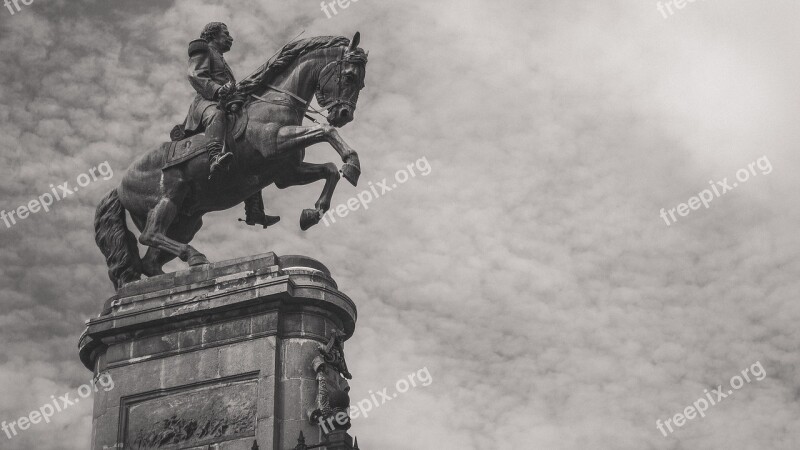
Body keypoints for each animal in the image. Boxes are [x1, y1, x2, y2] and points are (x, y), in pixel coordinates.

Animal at [95, 33, 368, 290]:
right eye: (350, 77)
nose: (344, 115)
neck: (274, 103)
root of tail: (119, 185)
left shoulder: (287, 172)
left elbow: (330, 170)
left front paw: (312, 213)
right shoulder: (275, 143)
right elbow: (325, 131)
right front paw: (352, 164)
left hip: (186, 222)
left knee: (150, 260)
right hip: (168, 198)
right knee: (150, 235)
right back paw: (195, 257)